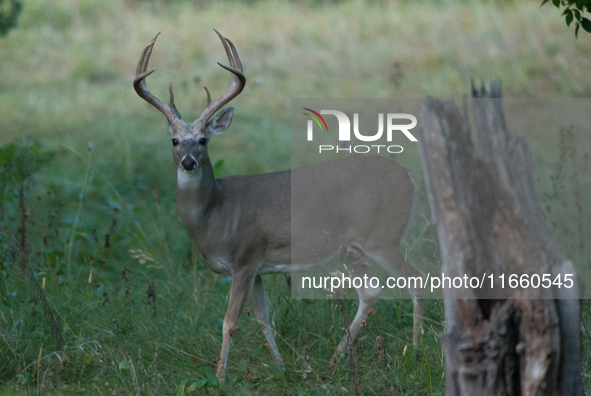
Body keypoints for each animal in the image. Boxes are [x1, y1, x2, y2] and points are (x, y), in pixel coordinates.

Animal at [134, 29, 426, 382]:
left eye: (203, 140)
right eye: (174, 141)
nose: (189, 162)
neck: (217, 213)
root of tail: (409, 176)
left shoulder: (245, 257)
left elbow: (230, 321)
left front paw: (219, 377)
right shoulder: (256, 268)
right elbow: (263, 317)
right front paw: (282, 367)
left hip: (381, 236)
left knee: (417, 279)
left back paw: (416, 350)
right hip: (350, 247)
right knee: (371, 292)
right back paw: (335, 359)